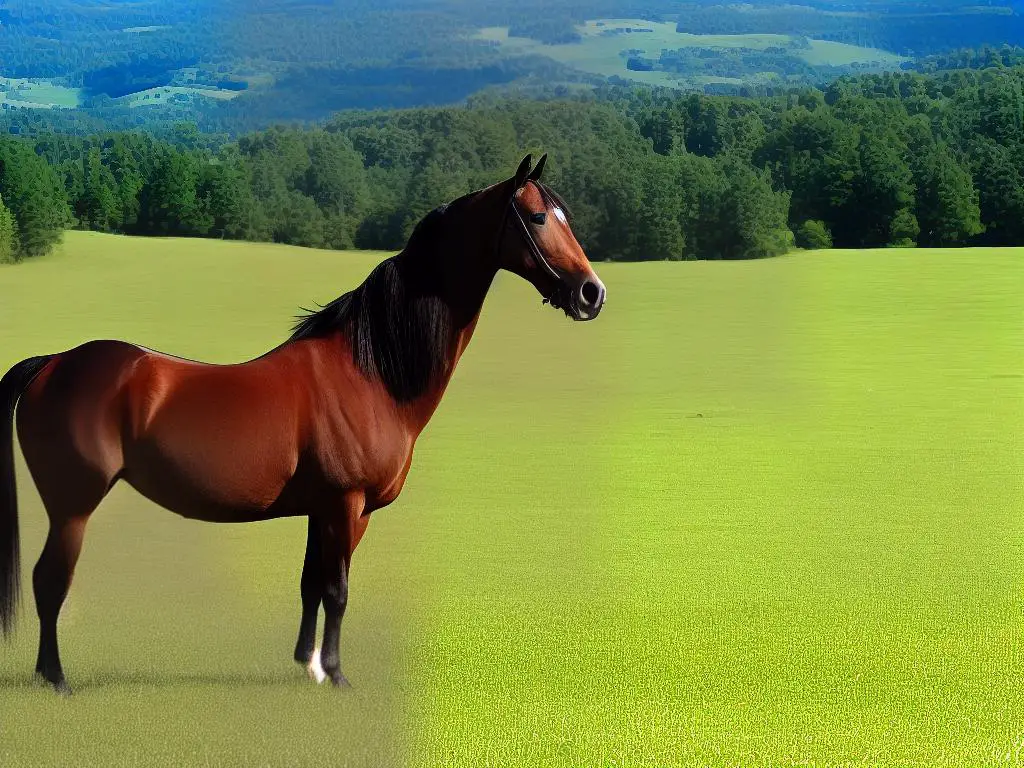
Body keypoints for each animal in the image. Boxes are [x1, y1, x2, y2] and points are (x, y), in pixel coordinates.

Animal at [0, 153, 606, 696]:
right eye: (537, 217)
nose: (591, 293)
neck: (371, 370)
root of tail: (54, 363)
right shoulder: (347, 504)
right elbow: (337, 588)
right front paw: (335, 674)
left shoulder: (321, 509)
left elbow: (310, 583)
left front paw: (308, 666)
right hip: (72, 507)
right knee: (49, 581)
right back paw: (56, 680)